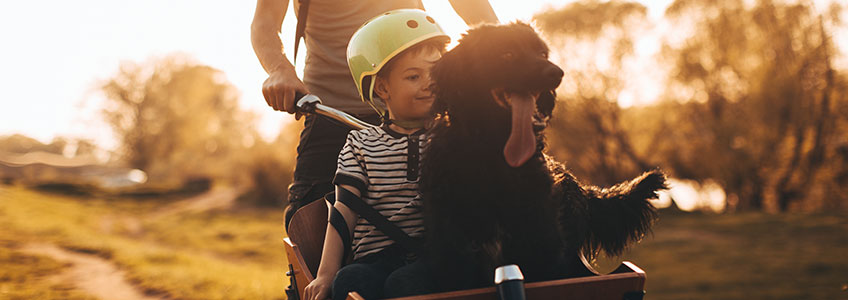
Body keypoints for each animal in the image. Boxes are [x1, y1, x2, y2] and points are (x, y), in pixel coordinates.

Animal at [420, 22, 664, 292]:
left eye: (542, 54)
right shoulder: (452, 246)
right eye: (507, 54)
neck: (494, 154)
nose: (557, 73)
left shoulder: (541, 241)